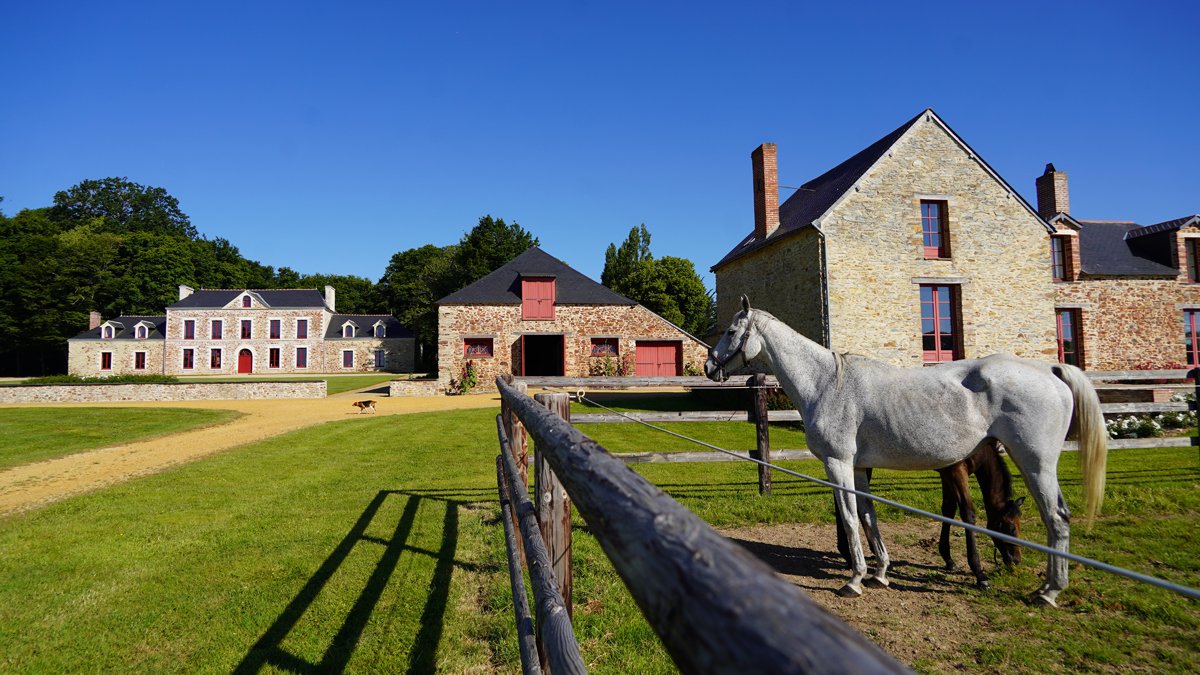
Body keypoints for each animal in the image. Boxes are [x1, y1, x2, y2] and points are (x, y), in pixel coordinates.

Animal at [705, 296, 1106, 606]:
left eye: (731, 332)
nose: (709, 366)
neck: (827, 383)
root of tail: (1050, 369)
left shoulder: (838, 463)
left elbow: (850, 518)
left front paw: (854, 580)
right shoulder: (859, 468)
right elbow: (869, 516)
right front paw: (879, 573)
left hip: (1036, 462)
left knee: (1057, 518)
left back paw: (1049, 592)